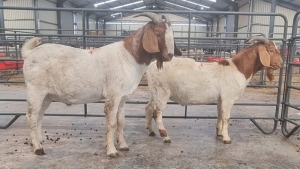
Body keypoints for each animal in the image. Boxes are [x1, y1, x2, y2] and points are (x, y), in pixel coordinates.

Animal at [22, 11, 182, 157]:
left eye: (171, 33)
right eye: (157, 33)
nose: (170, 55)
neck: (129, 57)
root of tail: (29, 54)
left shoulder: (122, 98)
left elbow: (121, 122)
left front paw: (123, 146)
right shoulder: (113, 95)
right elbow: (111, 123)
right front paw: (111, 151)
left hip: (47, 96)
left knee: (39, 116)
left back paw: (39, 141)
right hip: (35, 91)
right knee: (31, 117)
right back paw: (38, 148)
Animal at [144, 35, 282, 144]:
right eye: (271, 49)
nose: (280, 63)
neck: (238, 68)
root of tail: (151, 66)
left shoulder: (221, 98)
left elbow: (220, 114)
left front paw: (219, 133)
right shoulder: (228, 98)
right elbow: (226, 117)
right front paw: (227, 138)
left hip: (153, 92)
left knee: (148, 108)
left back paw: (151, 131)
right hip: (162, 92)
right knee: (157, 113)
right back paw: (165, 136)